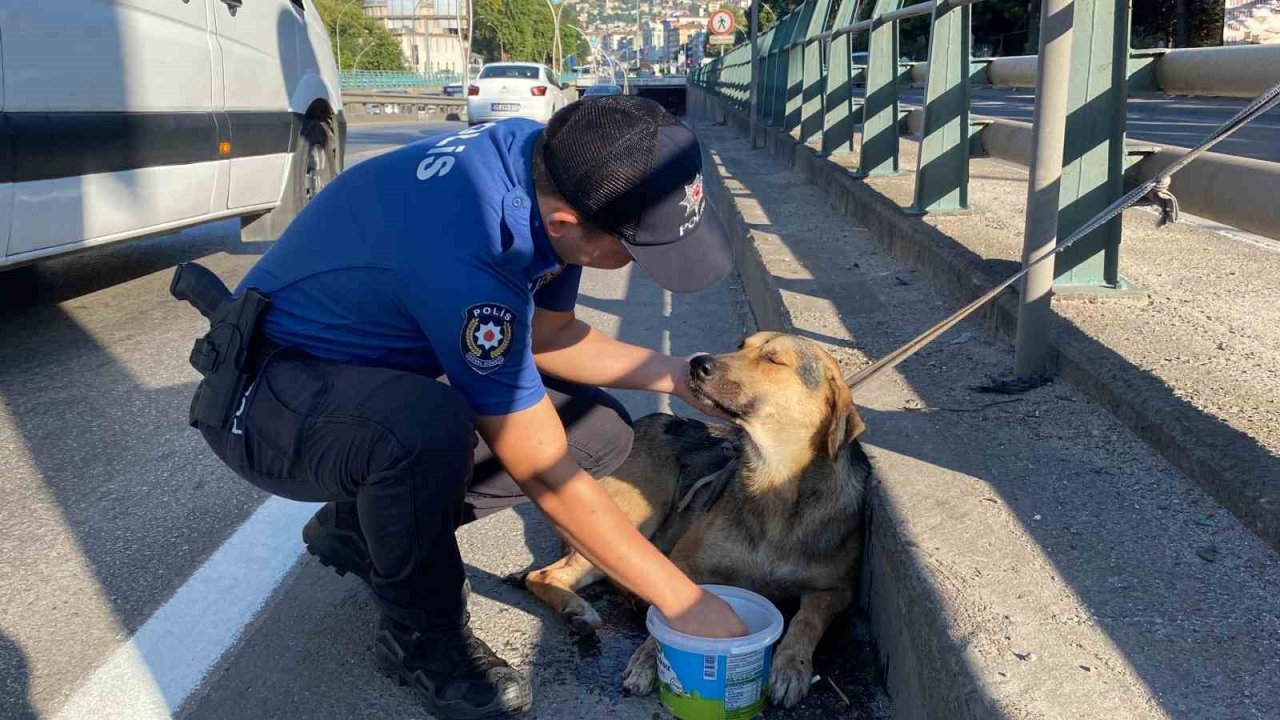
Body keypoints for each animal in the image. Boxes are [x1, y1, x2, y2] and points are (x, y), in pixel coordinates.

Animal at [519, 333, 870, 707]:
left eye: (773, 360)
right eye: (741, 344)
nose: (698, 364)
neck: (775, 482)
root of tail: (645, 422)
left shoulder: (835, 590)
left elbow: (806, 621)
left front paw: (791, 666)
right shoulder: (684, 562)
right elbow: (677, 609)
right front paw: (649, 658)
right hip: (627, 517)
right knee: (543, 575)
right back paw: (578, 610)